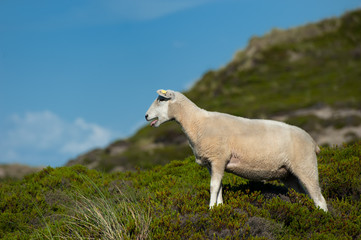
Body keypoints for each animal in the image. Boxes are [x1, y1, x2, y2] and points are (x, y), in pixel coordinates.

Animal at [143, 89, 326, 211]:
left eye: (161, 99)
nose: (145, 116)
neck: (197, 122)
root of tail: (313, 142)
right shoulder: (212, 163)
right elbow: (219, 187)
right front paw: (219, 208)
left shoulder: (218, 158)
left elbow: (213, 186)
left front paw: (210, 209)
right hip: (289, 174)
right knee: (305, 195)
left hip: (306, 166)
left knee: (319, 198)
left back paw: (323, 217)